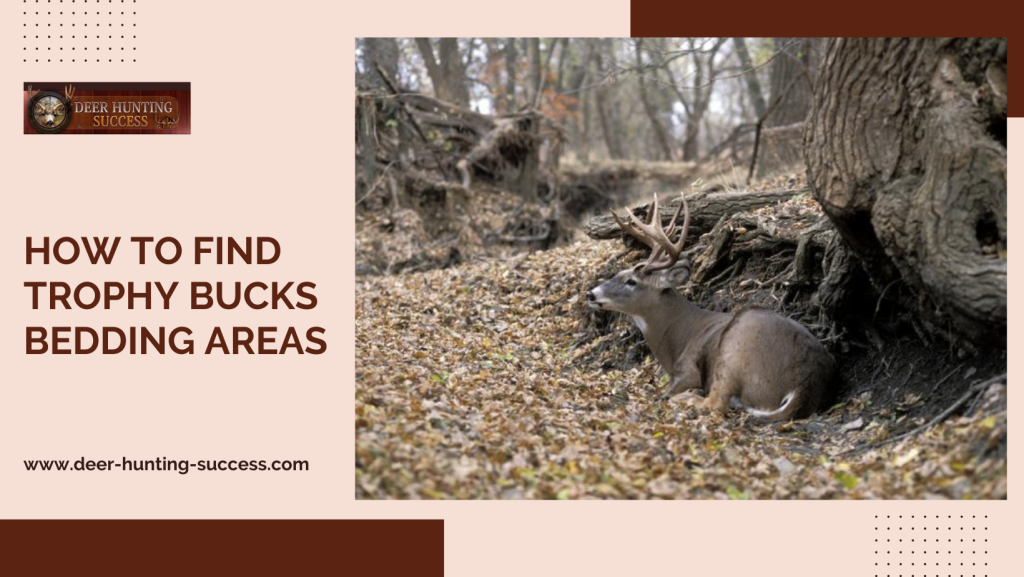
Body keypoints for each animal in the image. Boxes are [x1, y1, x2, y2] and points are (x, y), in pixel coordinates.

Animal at [586, 192, 835, 421]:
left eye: (631, 281)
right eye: (619, 273)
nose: (590, 294)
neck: (676, 337)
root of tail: (803, 385)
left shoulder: (688, 371)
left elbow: (663, 393)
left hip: (735, 349)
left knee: (715, 403)